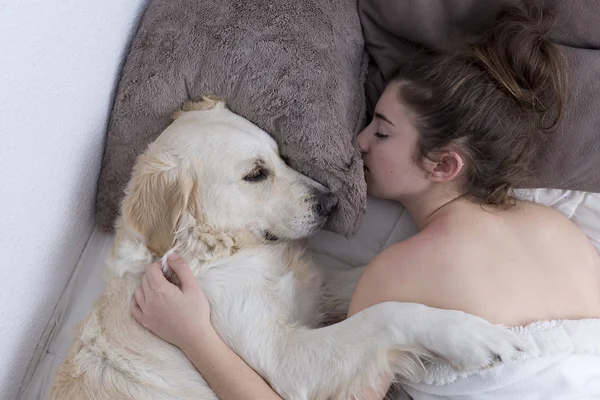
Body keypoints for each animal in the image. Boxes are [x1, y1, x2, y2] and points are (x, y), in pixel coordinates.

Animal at [50, 97, 520, 400]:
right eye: (256, 174)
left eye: (281, 156)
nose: (330, 202)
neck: (215, 251)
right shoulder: (284, 360)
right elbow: (385, 314)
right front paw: (471, 336)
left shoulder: (313, 290)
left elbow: (371, 281)